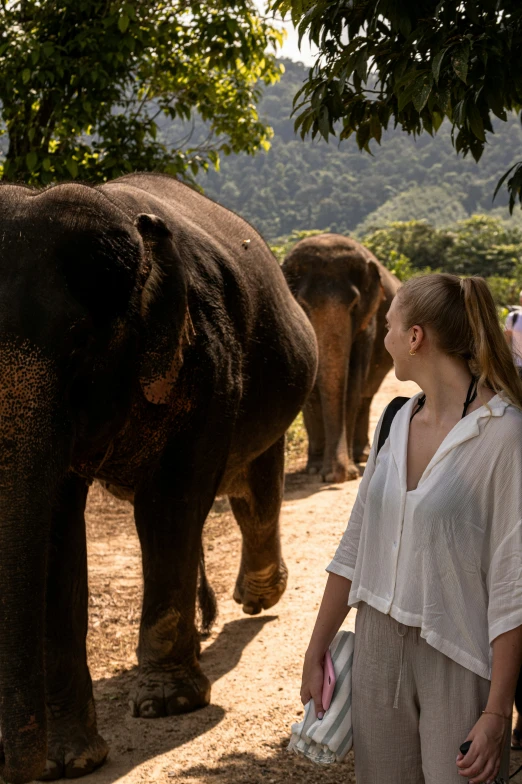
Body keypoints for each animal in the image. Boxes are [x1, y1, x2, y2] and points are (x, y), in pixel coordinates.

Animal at [0, 175, 316, 780]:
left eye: (79, 341)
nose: (16, 766)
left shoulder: (208, 358)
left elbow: (171, 502)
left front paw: (169, 704)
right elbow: (54, 527)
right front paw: (67, 760)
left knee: (255, 488)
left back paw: (259, 596)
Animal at [280, 230, 398, 480]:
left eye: (354, 305)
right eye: (303, 304)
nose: (337, 477)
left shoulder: (368, 322)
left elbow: (352, 385)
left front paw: (347, 471)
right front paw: (314, 469)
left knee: (365, 394)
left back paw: (361, 456)